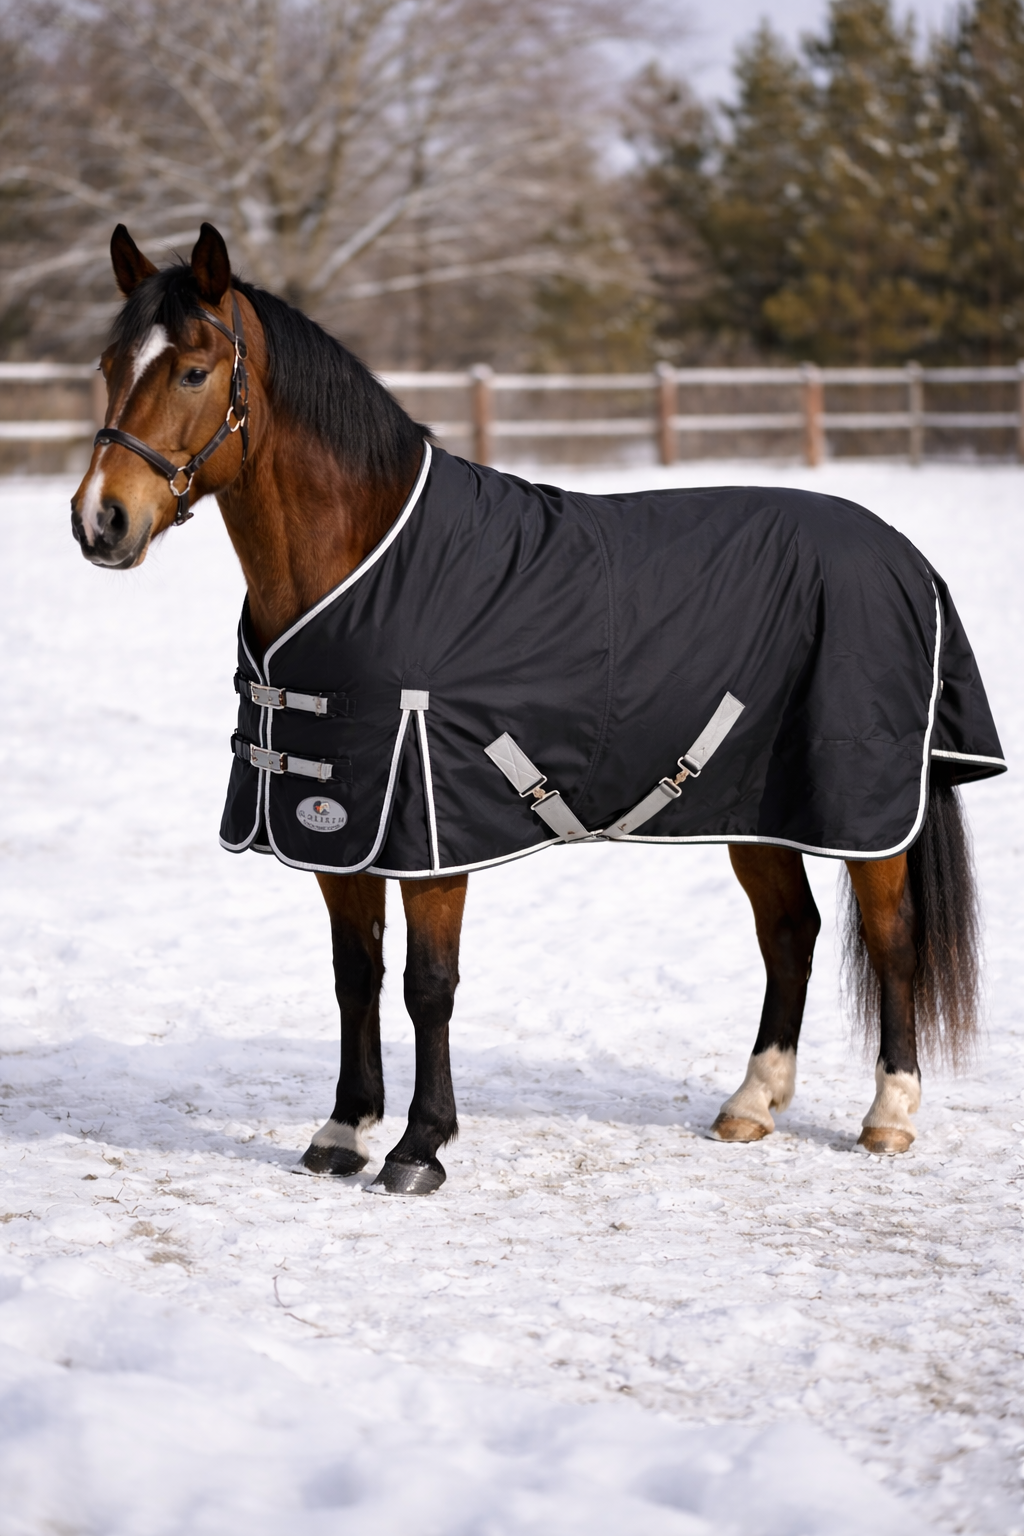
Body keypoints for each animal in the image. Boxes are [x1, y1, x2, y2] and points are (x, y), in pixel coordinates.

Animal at [70, 222, 1003, 1195]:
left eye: (193, 371)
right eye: (109, 362)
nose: (100, 521)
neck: (368, 561)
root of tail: (902, 554)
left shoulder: (430, 826)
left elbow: (427, 985)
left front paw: (419, 1147)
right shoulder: (341, 824)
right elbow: (355, 975)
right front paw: (342, 1130)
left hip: (866, 810)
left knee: (893, 939)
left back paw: (890, 1114)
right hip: (753, 805)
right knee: (790, 933)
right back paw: (751, 1104)